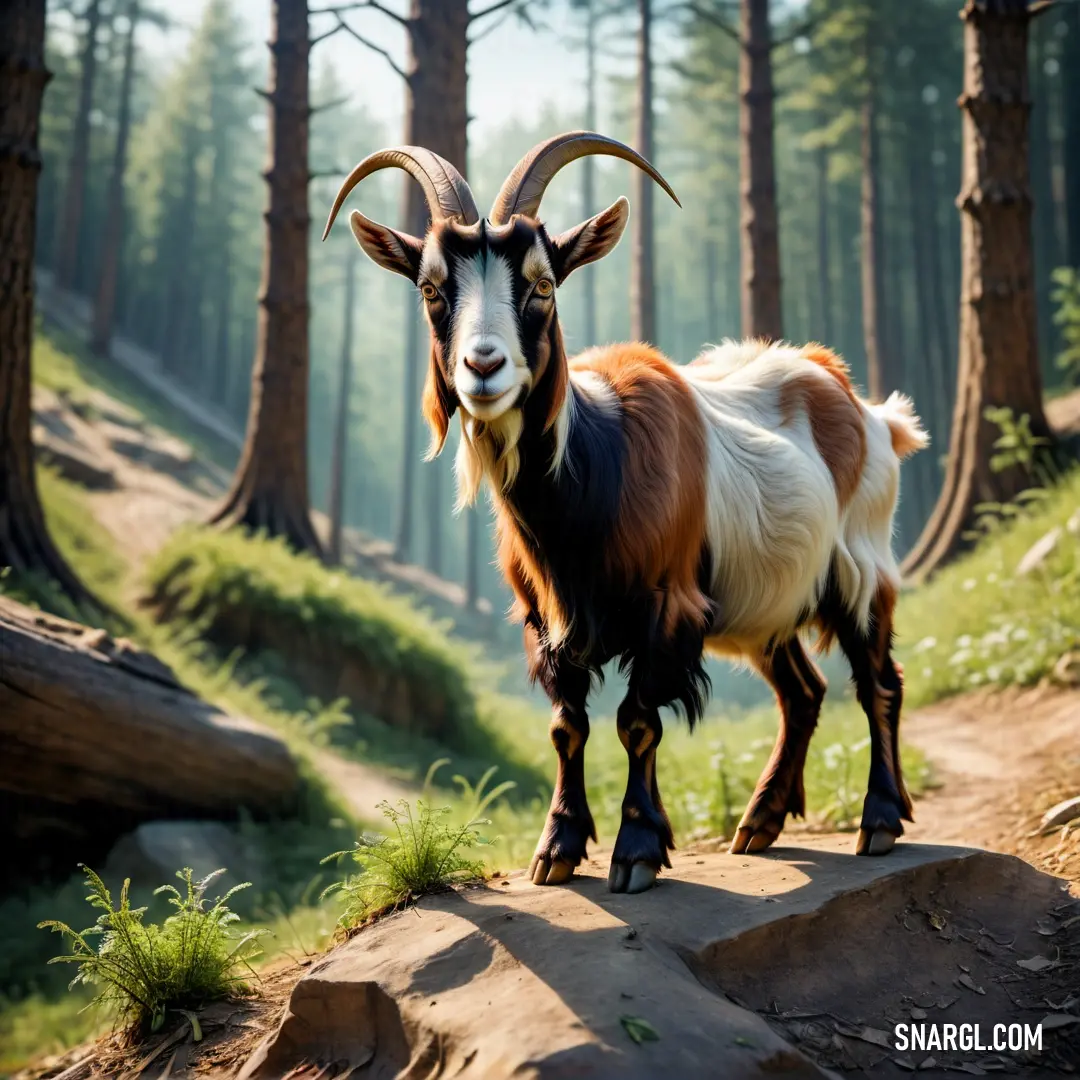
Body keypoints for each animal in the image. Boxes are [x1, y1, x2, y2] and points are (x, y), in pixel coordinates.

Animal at [319, 132, 928, 894]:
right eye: (431, 289)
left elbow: (638, 722)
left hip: (859, 568)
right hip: (766, 600)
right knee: (803, 693)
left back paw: (880, 818)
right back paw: (761, 820)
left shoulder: (666, 604)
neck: (589, 483)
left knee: (879, 683)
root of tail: (859, 403)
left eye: (543, 284)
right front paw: (557, 846)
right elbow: (566, 725)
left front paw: (636, 848)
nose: (482, 368)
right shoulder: (544, 617)